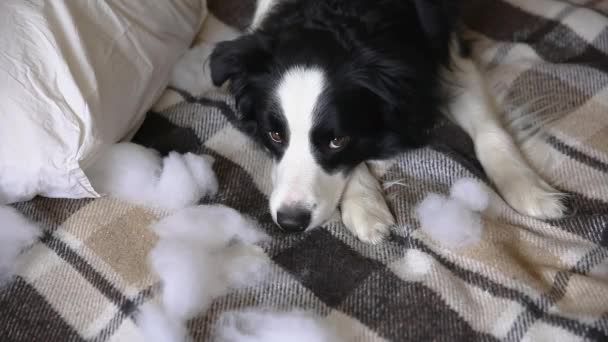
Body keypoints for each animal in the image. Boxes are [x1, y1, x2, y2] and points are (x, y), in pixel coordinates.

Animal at [208, 0, 564, 243]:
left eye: (336, 140)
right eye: (275, 134)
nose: (291, 222)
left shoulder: (446, 56)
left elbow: (490, 129)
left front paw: (528, 188)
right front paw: (367, 207)